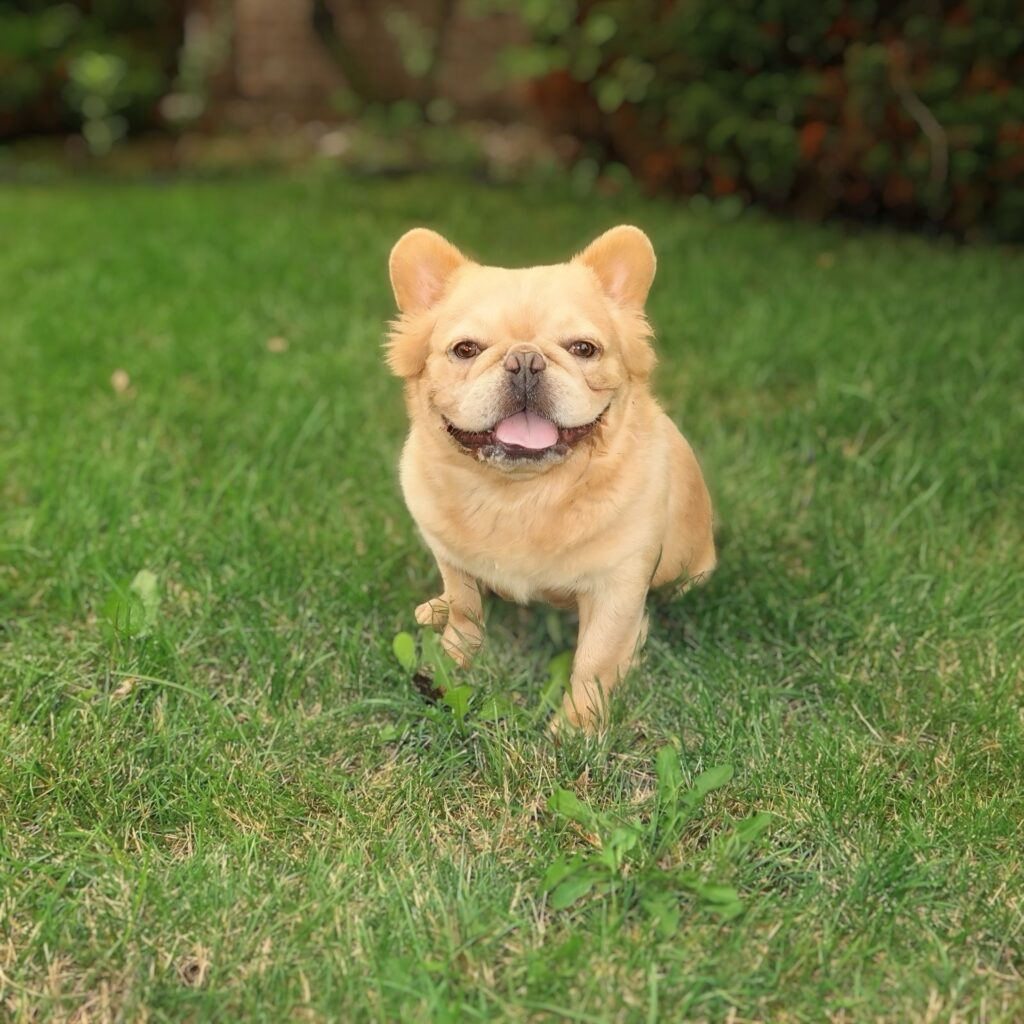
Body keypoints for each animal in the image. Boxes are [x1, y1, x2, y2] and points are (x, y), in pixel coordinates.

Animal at [385, 225, 715, 731]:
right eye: (465, 350)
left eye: (583, 349)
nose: (525, 361)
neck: (523, 494)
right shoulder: (452, 560)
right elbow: (465, 608)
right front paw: (454, 658)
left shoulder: (617, 591)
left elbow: (595, 662)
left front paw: (577, 728)